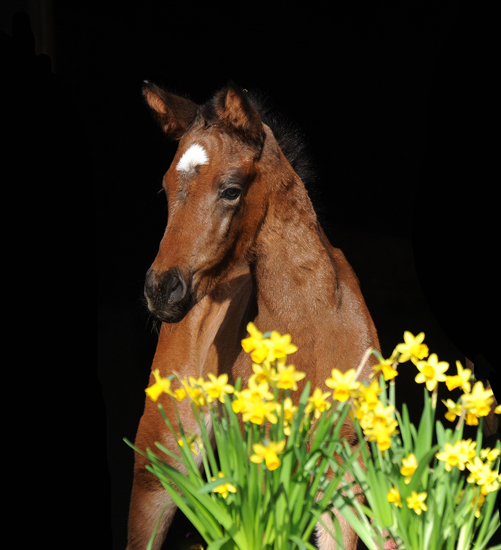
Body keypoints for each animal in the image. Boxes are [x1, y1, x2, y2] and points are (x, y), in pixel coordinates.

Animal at [126, 82, 378, 550]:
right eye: (166, 188)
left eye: (231, 189)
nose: (161, 288)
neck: (313, 326)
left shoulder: (342, 462)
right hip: (160, 461)